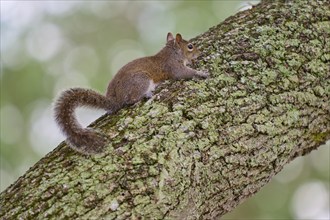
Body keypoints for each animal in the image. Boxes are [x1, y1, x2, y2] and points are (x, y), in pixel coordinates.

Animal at [54, 32, 209, 155]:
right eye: (190, 46)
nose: (200, 53)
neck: (172, 53)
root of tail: (115, 99)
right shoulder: (173, 67)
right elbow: (184, 73)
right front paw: (201, 73)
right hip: (141, 80)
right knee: (131, 100)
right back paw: (146, 94)